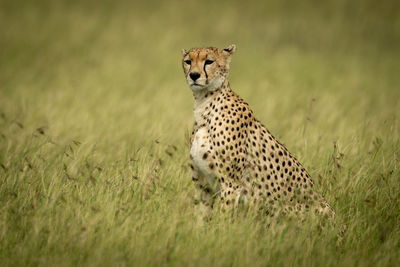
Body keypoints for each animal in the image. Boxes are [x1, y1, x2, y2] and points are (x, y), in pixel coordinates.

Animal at [182, 45, 334, 222]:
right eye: (188, 61)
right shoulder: (202, 184)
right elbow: (201, 218)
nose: (194, 75)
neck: (204, 106)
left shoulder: (230, 184)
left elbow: (224, 217)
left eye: (209, 61)